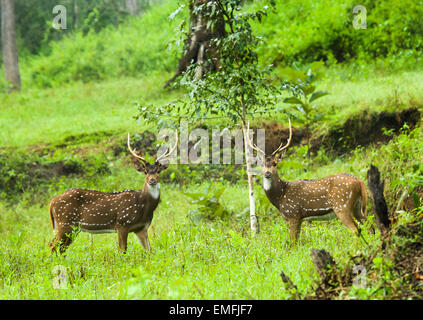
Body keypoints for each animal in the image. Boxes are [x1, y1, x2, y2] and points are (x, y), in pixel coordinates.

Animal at [48, 131, 179, 254]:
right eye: (145, 172)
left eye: (158, 171)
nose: (152, 180)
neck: (144, 207)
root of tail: (52, 202)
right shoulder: (122, 223)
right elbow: (122, 250)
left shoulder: (141, 228)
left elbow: (150, 251)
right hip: (65, 223)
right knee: (53, 246)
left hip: (71, 228)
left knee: (61, 248)